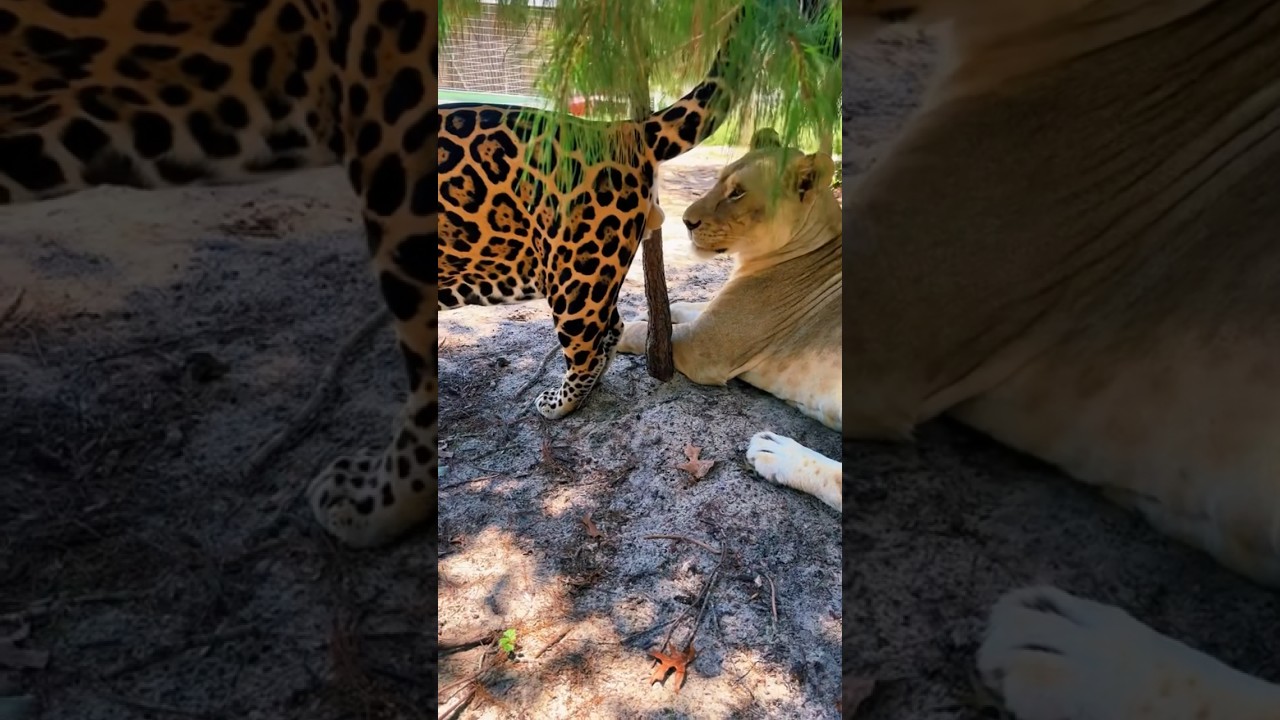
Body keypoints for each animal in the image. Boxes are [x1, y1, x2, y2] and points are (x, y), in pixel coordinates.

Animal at [616, 127, 843, 512]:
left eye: (737, 192)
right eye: (718, 181)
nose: (685, 221)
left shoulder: (705, 347)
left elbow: (635, 332)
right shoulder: (713, 318)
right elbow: (684, 304)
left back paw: (776, 452)